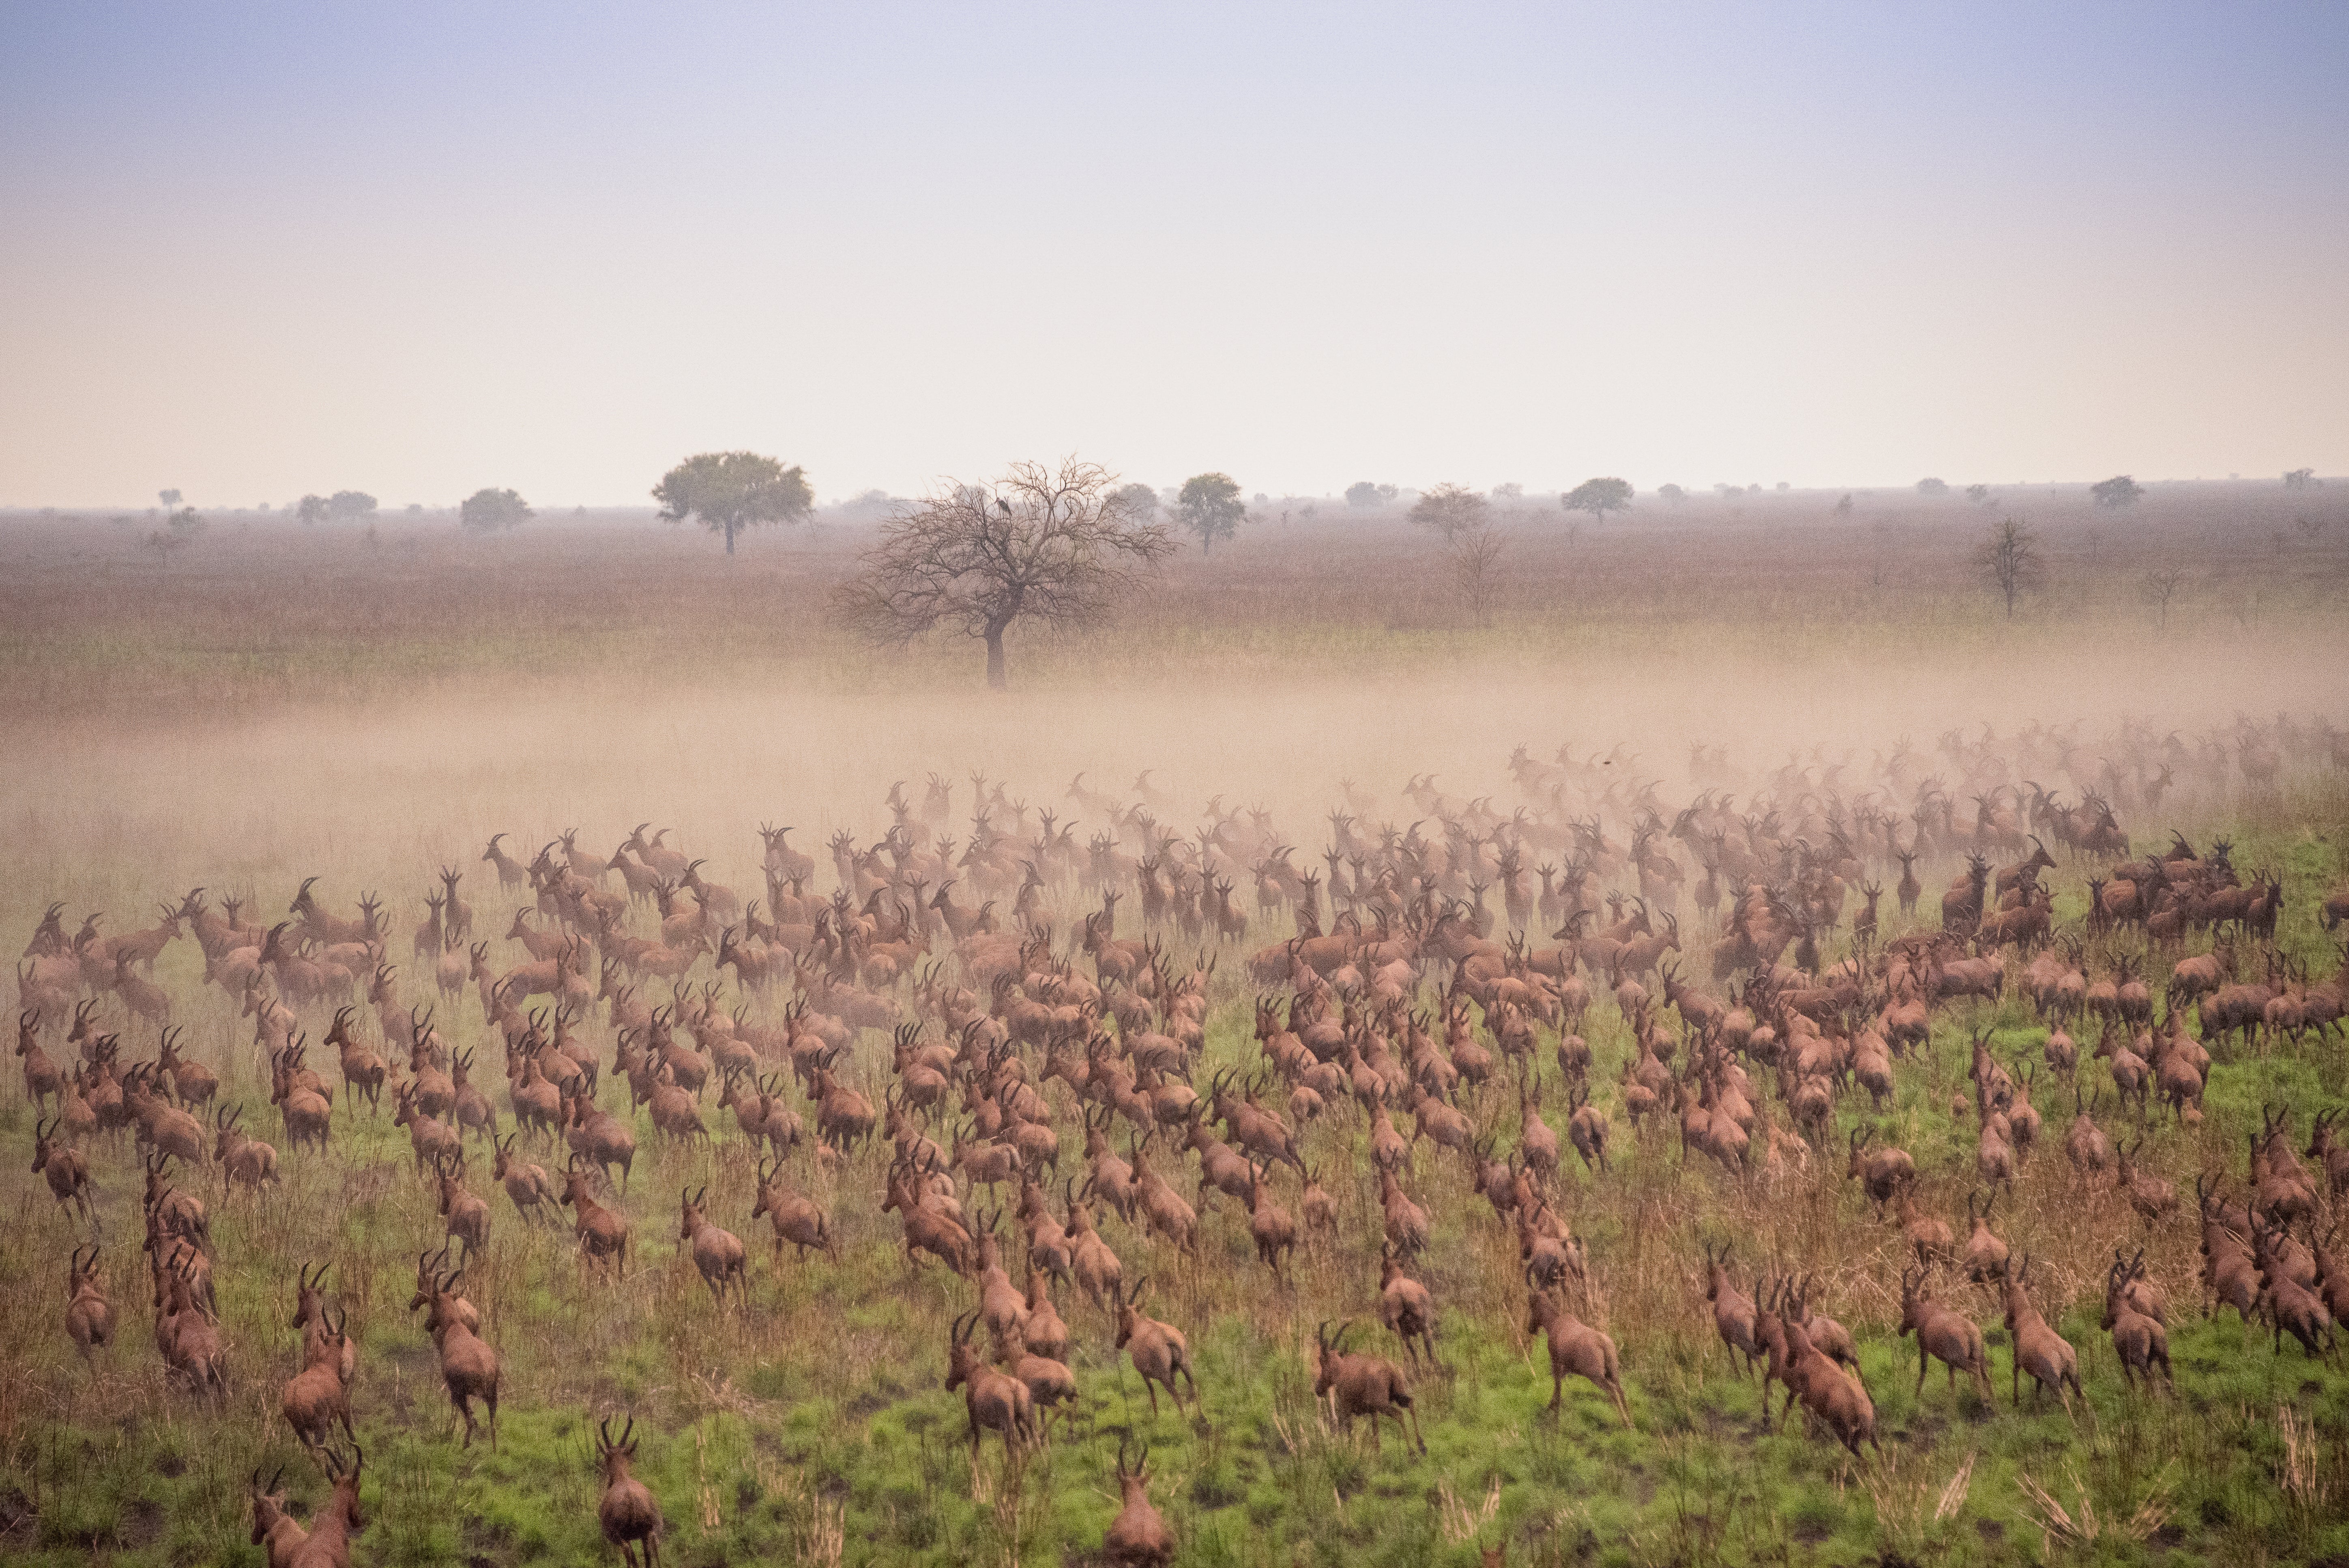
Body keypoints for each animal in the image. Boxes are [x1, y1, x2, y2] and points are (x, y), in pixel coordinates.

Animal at [592, 1420, 667, 1568]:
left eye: (606, 1458)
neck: (622, 1478)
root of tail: (631, 1500)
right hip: (650, 1531)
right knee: (653, 1550)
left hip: (622, 1536)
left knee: (629, 1553)